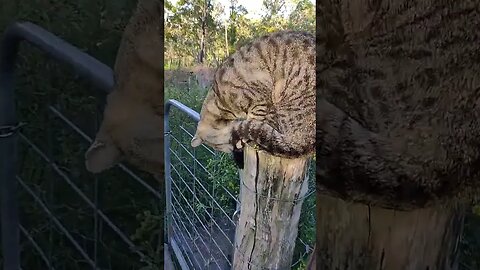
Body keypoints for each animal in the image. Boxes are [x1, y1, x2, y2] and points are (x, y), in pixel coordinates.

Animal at [189, 30, 316, 159]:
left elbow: (256, 122)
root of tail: (308, 145)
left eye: (218, 146)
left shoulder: (260, 102)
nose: (234, 151)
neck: (219, 99)